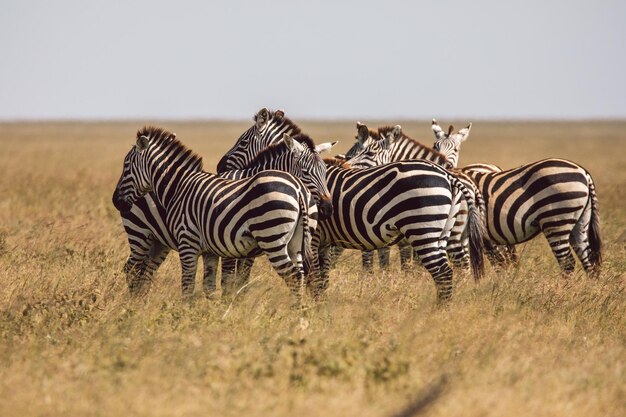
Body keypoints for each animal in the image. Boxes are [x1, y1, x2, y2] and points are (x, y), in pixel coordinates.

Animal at [111, 125, 332, 298]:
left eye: (126, 165)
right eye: (307, 172)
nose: (116, 201)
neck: (180, 185)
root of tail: (298, 189)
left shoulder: (192, 243)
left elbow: (196, 286)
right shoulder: (219, 249)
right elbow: (219, 285)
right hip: (143, 235)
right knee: (135, 270)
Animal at [428, 121, 600, 276]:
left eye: (456, 149)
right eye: (435, 146)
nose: (443, 164)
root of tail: (584, 173)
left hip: (556, 222)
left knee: (567, 263)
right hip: (580, 223)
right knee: (588, 261)